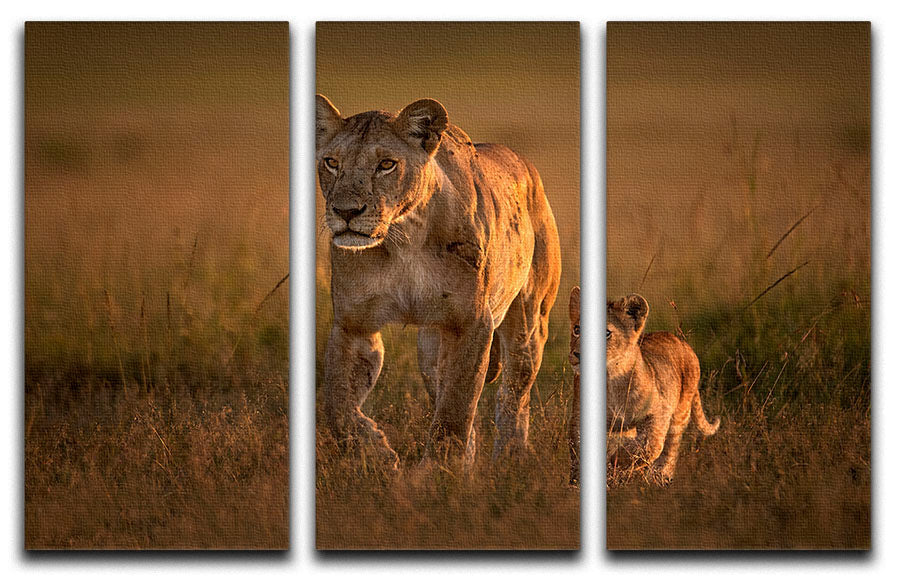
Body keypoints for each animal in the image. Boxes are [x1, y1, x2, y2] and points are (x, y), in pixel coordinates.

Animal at [316, 95, 561, 469]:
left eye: (386, 164)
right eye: (331, 162)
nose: (346, 212)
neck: (402, 239)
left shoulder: (471, 323)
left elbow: (455, 409)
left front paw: (438, 473)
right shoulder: (353, 324)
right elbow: (337, 405)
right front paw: (378, 453)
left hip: (529, 322)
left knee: (514, 395)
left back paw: (509, 460)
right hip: (431, 346)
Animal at [606, 294, 720, 481]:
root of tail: (684, 344)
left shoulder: (660, 412)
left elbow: (649, 445)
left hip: (680, 413)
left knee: (671, 448)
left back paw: (660, 477)